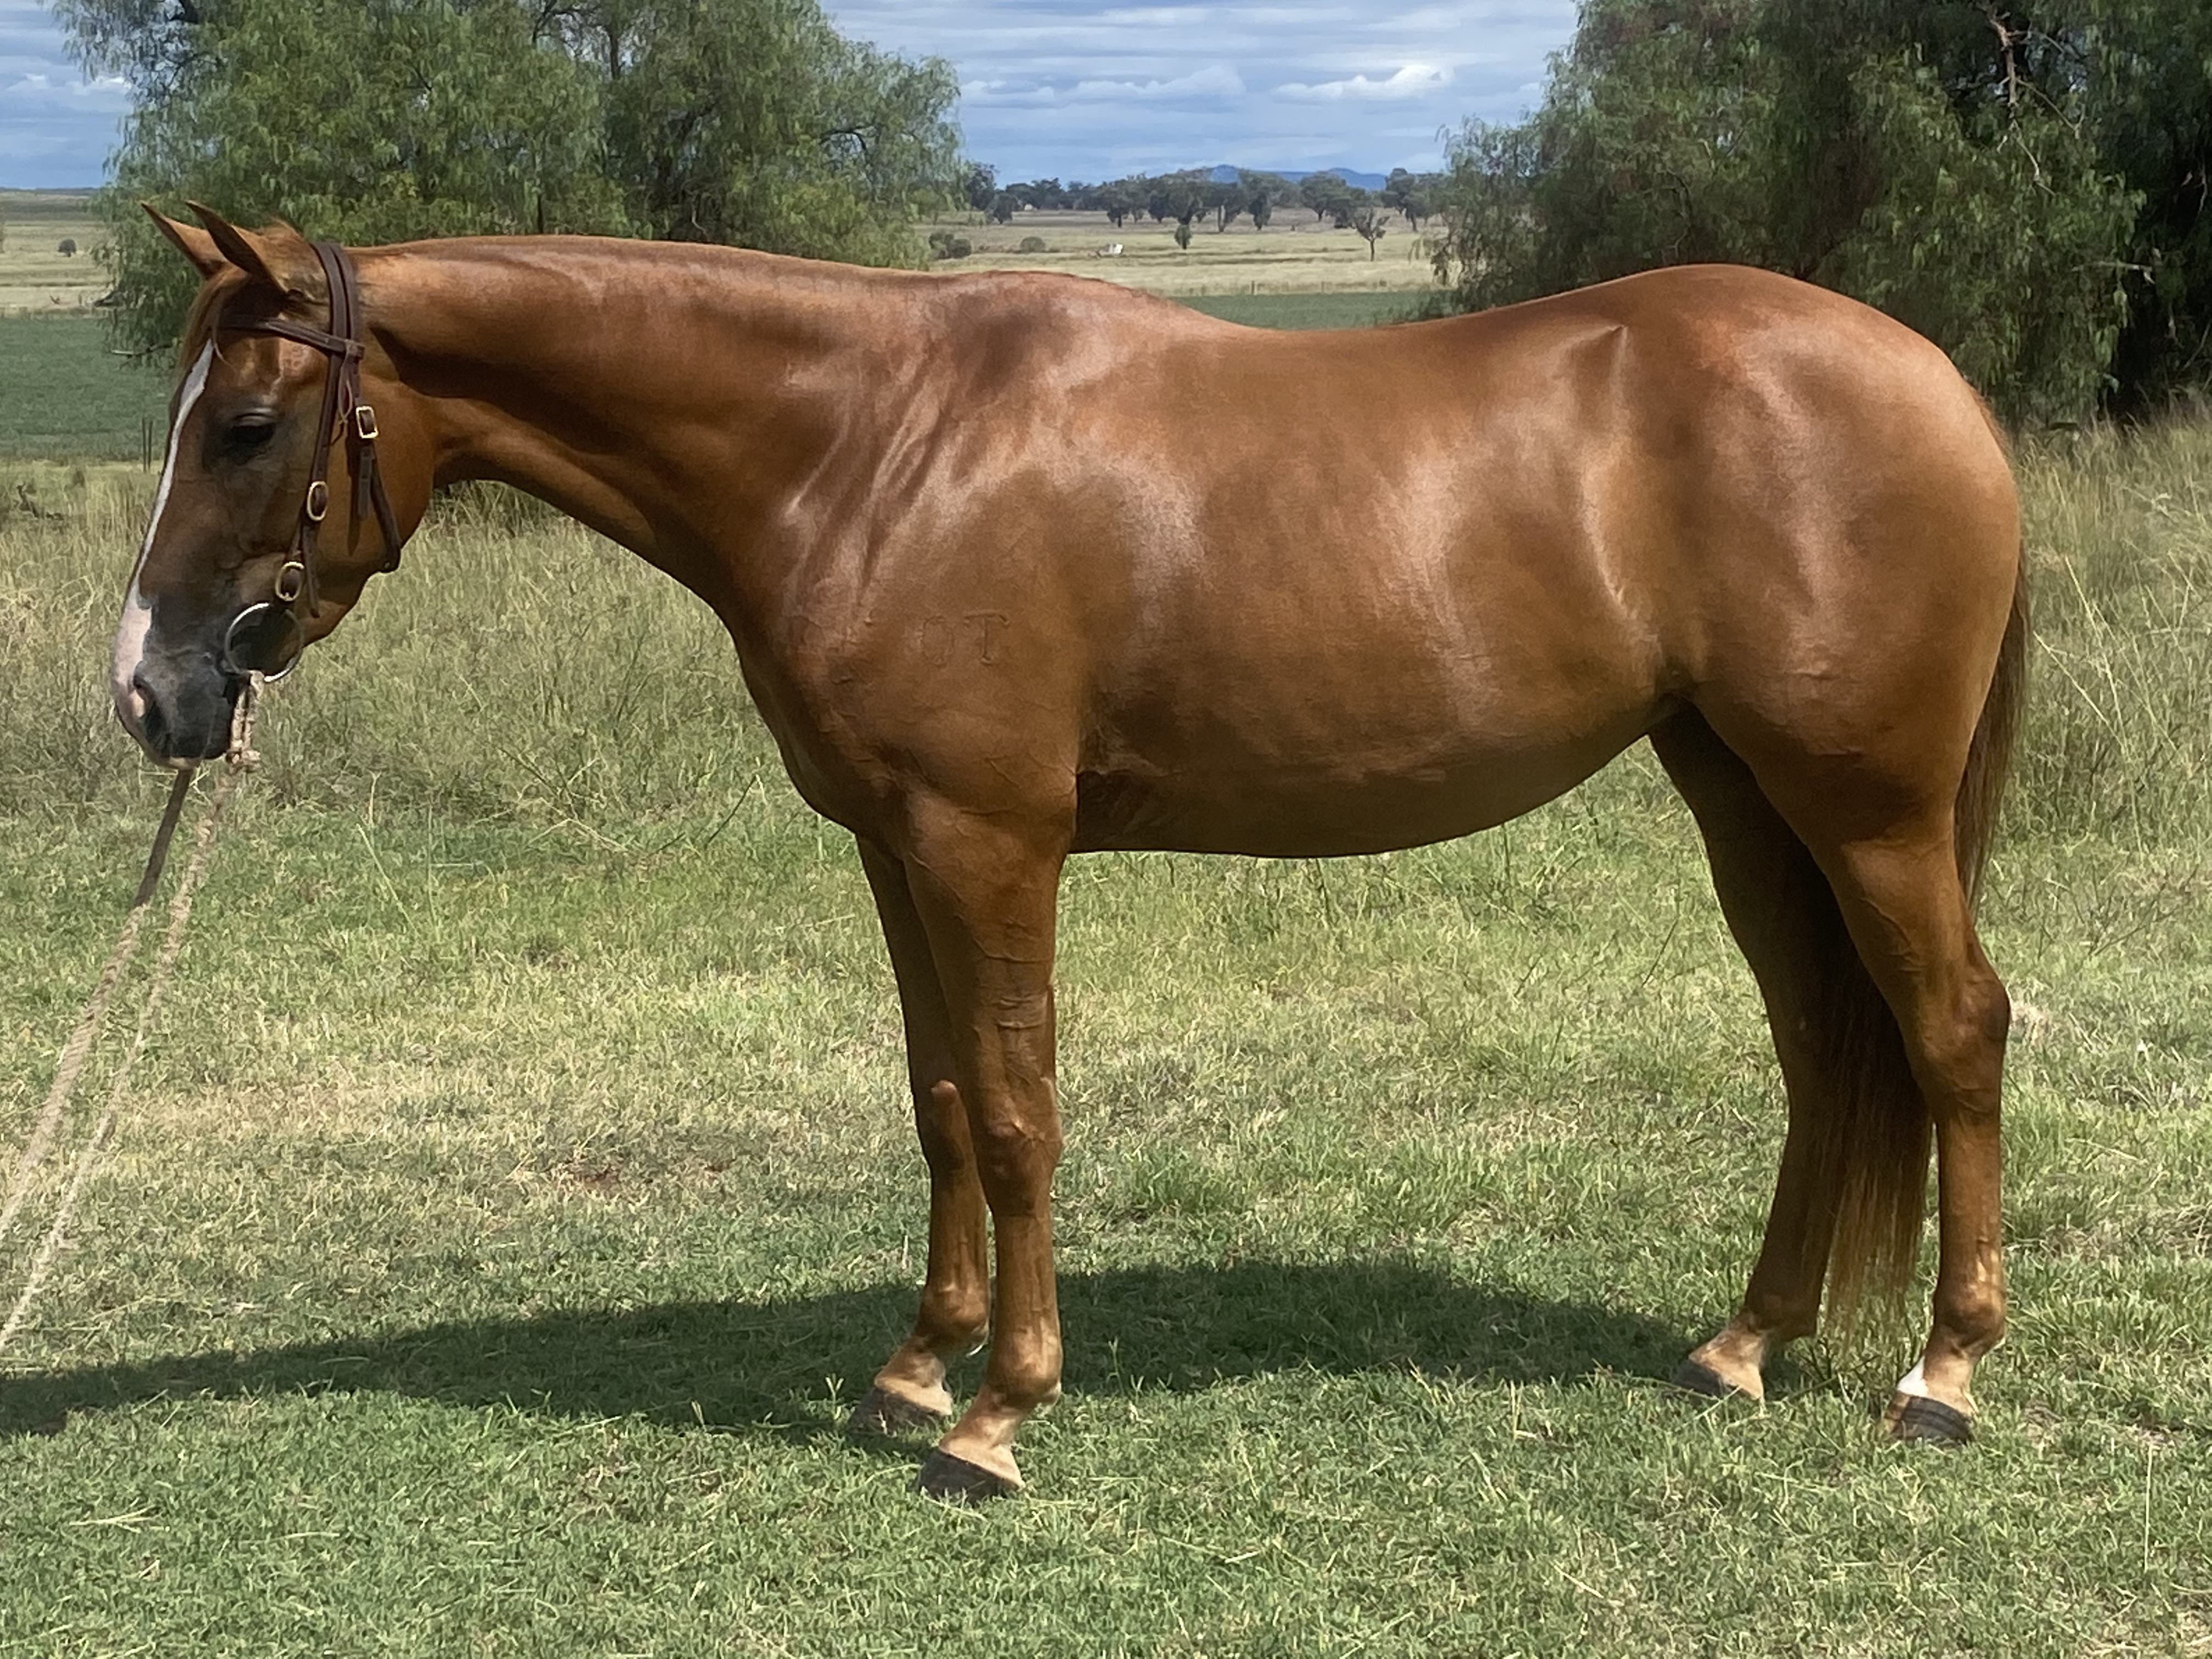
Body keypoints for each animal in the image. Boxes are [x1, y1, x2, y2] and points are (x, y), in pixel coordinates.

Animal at [112, 205, 2026, 1501]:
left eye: (247, 426)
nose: (152, 691)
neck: (874, 447)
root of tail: (1935, 380)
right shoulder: (893, 846)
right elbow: (947, 1097)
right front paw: (913, 1367)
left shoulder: (990, 843)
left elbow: (1024, 1109)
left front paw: (998, 1416)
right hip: (1744, 799)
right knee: (1821, 1052)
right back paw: (1745, 1345)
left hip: (1864, 807)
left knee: (1952, 1036)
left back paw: (1942, 1378)